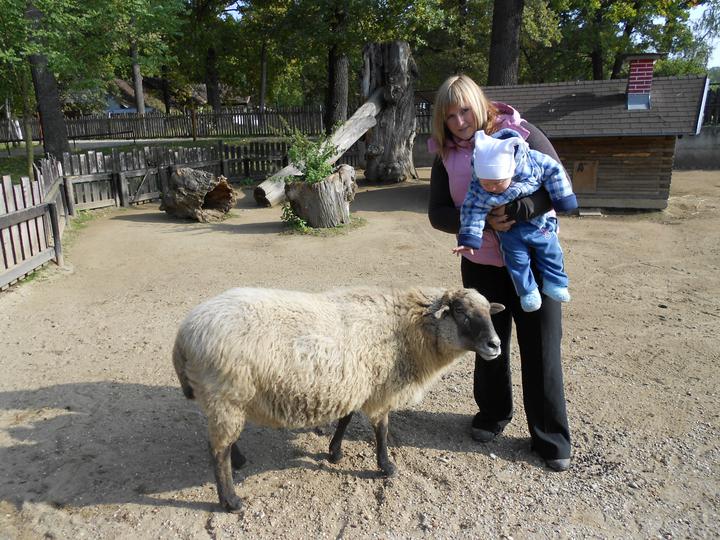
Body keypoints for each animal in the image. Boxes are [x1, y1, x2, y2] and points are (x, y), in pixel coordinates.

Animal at [173, 286, 504, 513]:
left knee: (224, 444)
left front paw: (335, 452)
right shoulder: (381, 391)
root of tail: (183, 336)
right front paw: (386, 466)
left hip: (226, 399)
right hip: (226, 396)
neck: (408, 328)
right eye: (460, 313)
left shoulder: (355, 385)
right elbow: (381, 431)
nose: (496, 345)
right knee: (217, 451)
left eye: (490, 313)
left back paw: (239, 461)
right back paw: (230, 500)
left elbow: (345, 419)